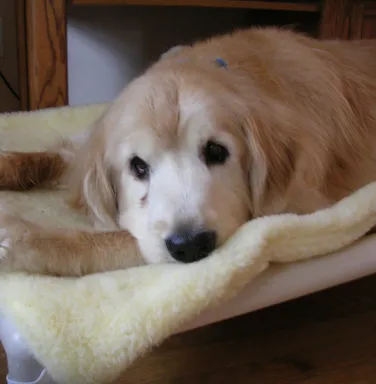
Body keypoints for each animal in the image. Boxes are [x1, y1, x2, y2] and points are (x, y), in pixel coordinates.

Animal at [0, 27, 376, 276]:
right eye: (138, 166)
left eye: (216, 151)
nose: (190, 245)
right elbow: (56, 157)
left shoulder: (300, 211)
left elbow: (122, 238)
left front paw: (28, 239)